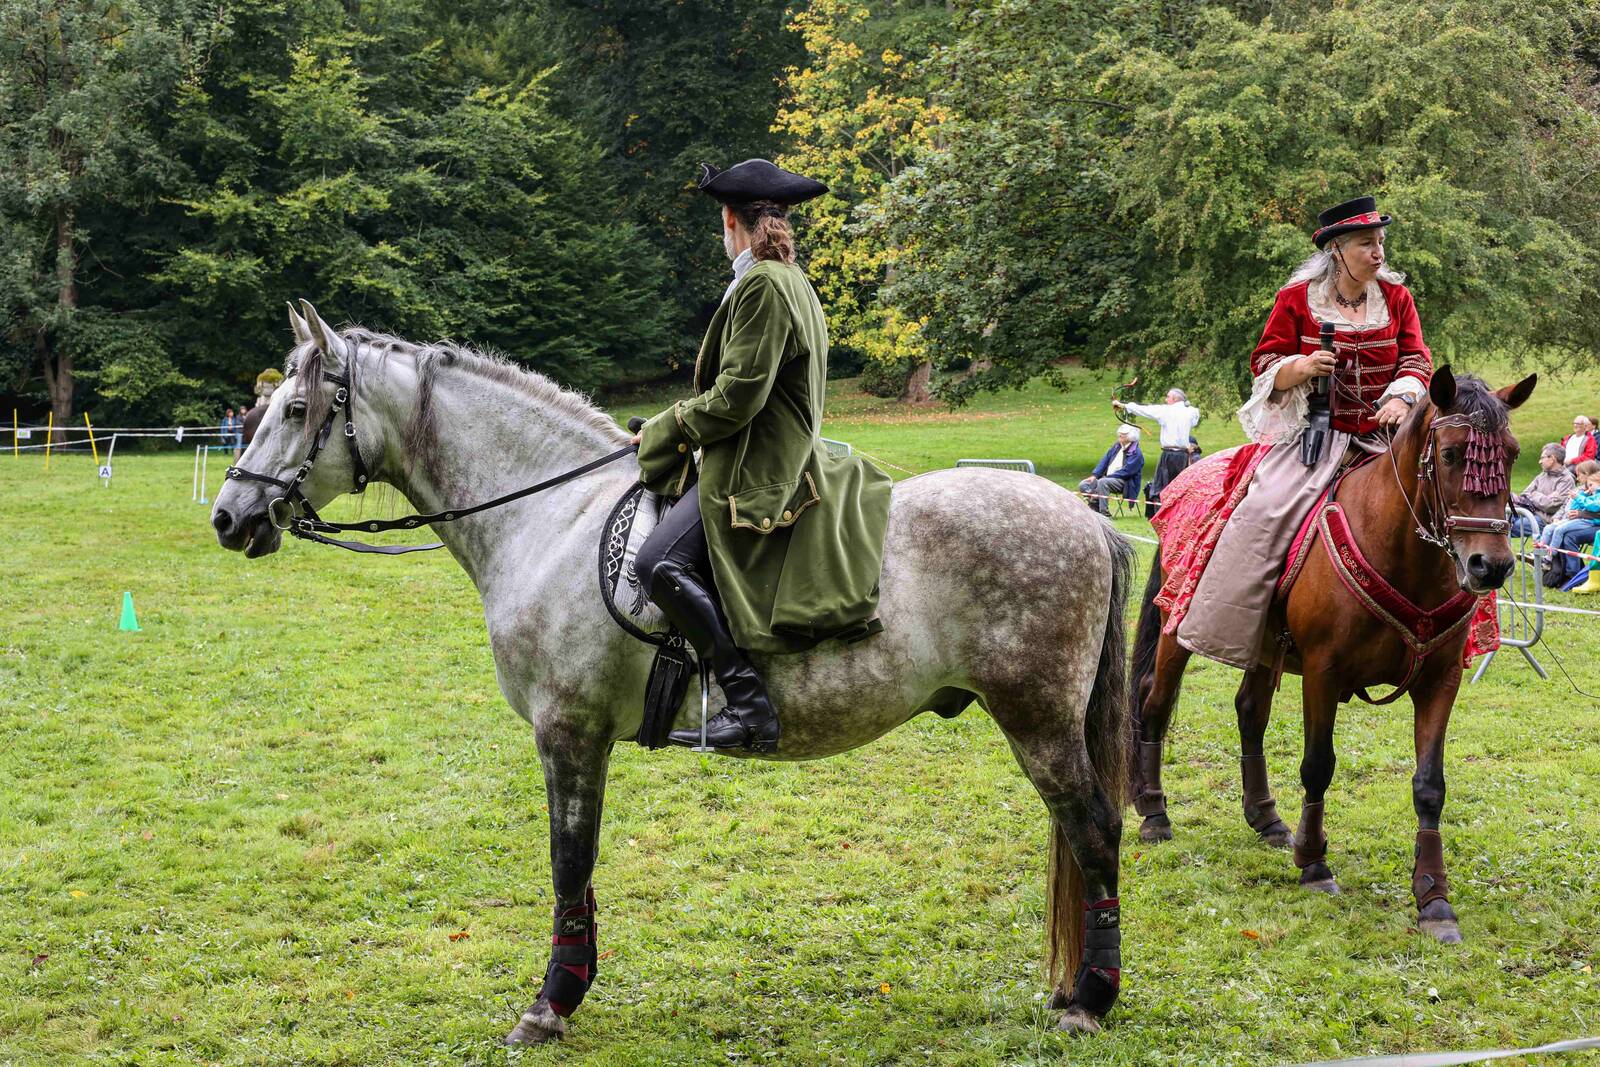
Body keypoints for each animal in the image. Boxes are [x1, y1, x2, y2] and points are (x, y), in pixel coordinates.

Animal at [210, 302, 1135, 1045]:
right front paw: (569, 989)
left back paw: (1090, 999)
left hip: (1038, 717)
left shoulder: (569, 729)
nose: (229, 516)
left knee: (1093, 831)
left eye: (295, 409)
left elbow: (568, 861)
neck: (550, 516)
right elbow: (577, 867)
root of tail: (1085, 518)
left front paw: (551, 1002)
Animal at [1128, 367, 1535, 944]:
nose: (1491, 566)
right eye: (1453, 454)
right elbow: (1318, 765)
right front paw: (1315, 863)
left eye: (1512, 452)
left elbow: (1430, 786)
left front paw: (1434, 898)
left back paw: (1266, 818)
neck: (1400, 552)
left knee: (1249, 711)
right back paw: (1154, 814)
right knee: (1155, 703)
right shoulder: (1322, 673)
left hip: (1264, 645)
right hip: (1177, 626)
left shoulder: (1440, 682)